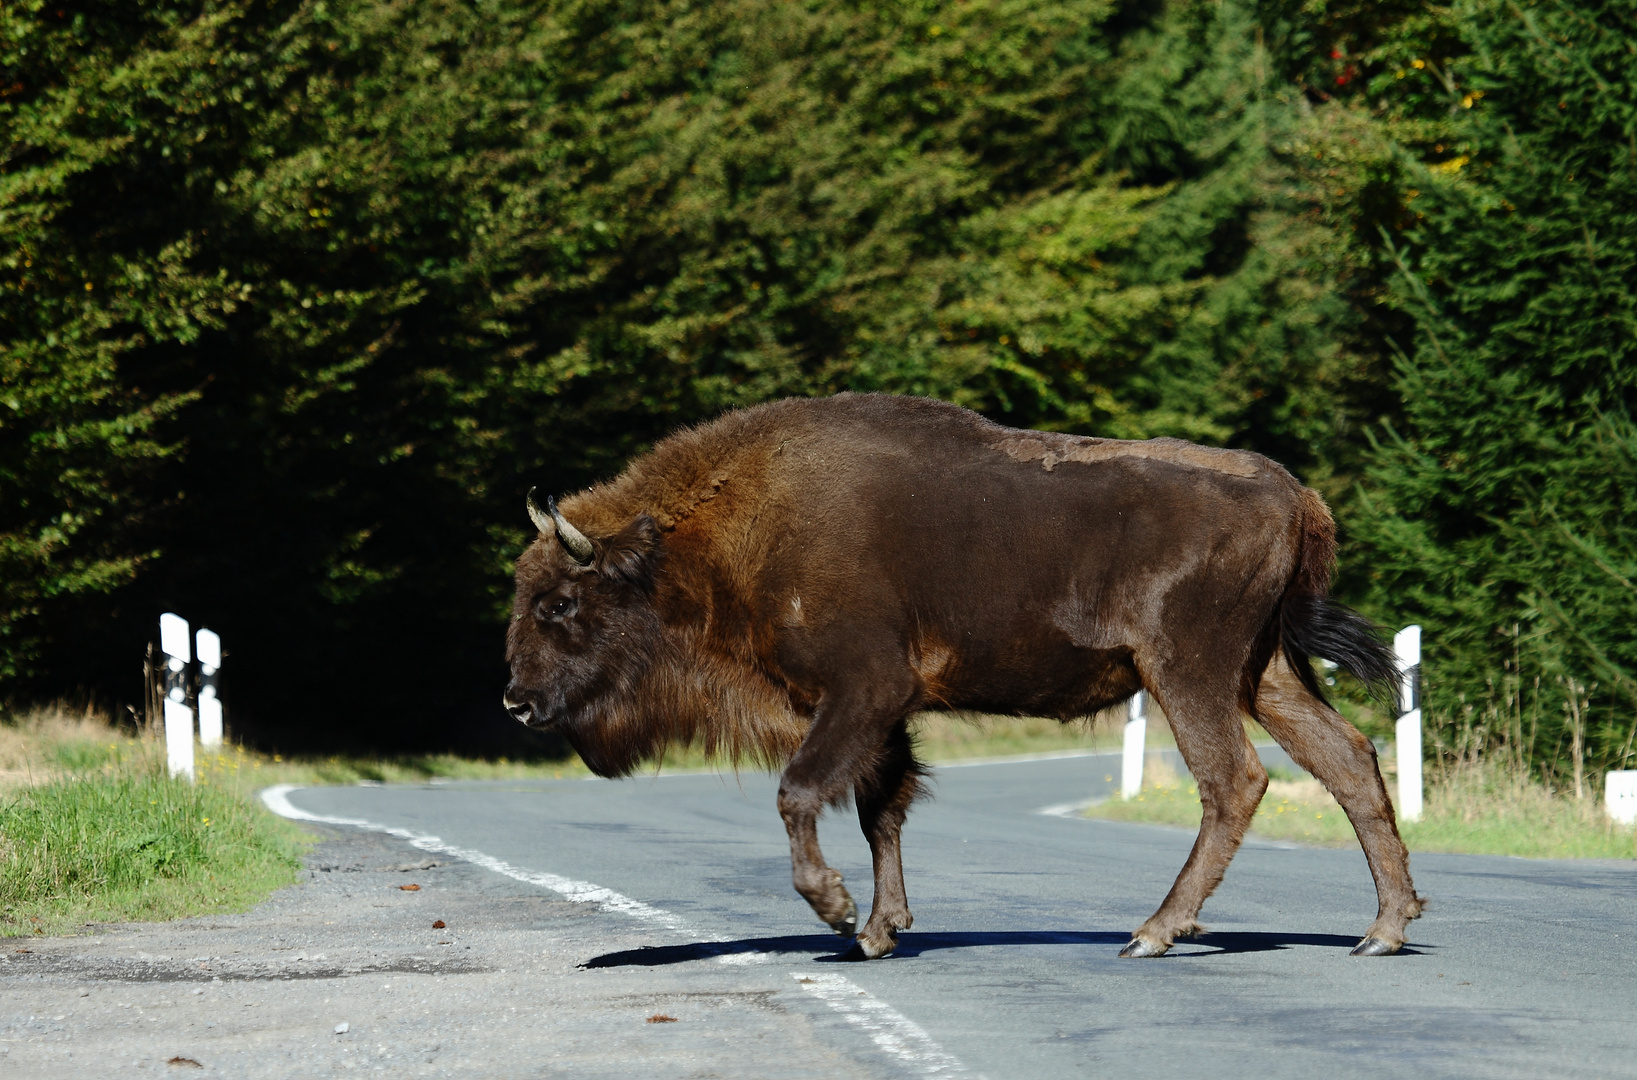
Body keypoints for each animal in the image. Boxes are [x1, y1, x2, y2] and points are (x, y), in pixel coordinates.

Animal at [500, 392, 1420, 955]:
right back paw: (1383, 928)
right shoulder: (881, 713)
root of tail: (1297, 496)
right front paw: (880, 930)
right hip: (1262, 674)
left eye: (557, 602)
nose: (516, 700)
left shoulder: (860, 693)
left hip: (1186, 672)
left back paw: (1154, 931)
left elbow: (802, 792)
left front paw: (837, 911)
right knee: (1346, 759)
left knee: (1232, 780)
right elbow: (880, 808)